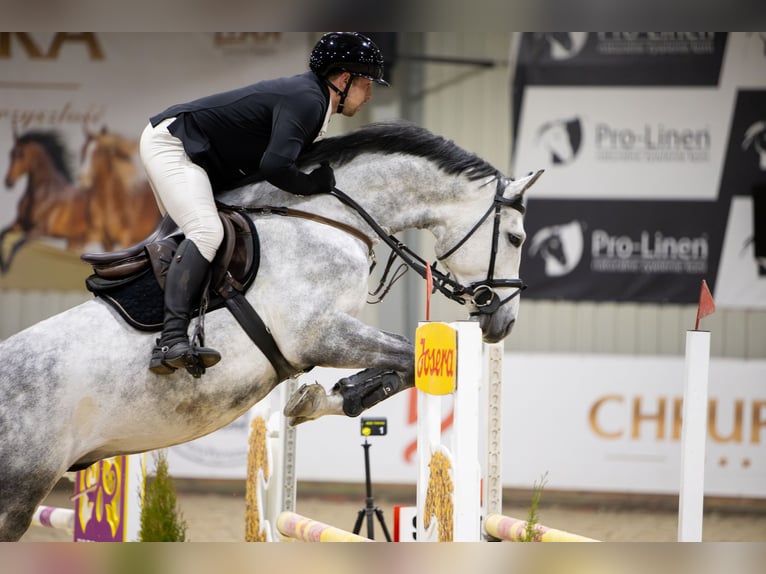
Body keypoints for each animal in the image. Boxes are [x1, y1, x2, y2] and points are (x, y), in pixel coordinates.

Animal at [1, 129, 93, 273]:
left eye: (21, 155)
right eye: (11, 153)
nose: (8, 182)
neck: (41, 195)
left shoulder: (39, 230)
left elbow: (17, 244)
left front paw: (6, 268)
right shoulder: (20, 224)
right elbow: (3, 234)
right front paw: (2, 264)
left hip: (83, 238)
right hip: (72, 238)